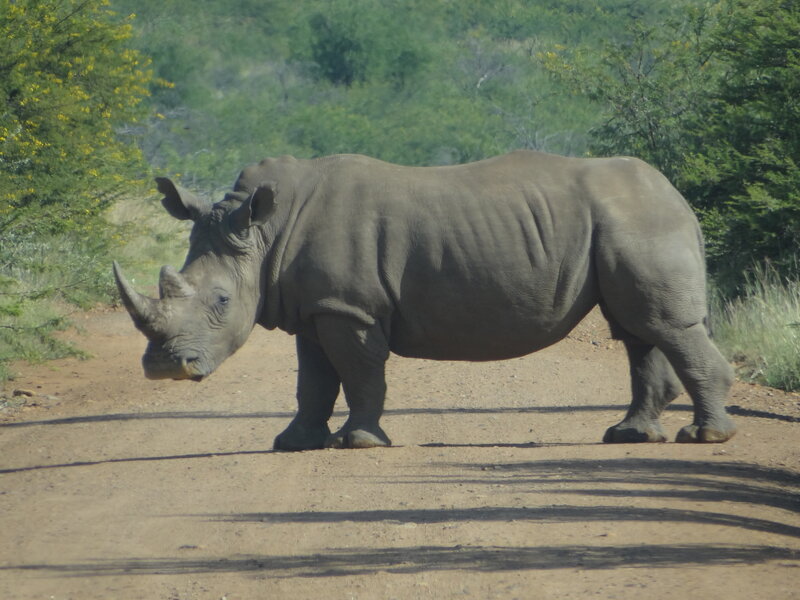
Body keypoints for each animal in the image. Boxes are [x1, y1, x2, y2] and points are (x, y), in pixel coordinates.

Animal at [113, 150, 736, 450]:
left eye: (221, 301)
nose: (165, 368)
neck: (264, 234)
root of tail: (679, 197)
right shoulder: (316, 307)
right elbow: (313, 381)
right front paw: (293, 444)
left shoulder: (349, 307)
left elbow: (360, 373)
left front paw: (360, 443)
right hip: (628, 223)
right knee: (638, 329)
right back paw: (629, 436)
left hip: (641, 223)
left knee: (661, 326)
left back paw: (706, 438)